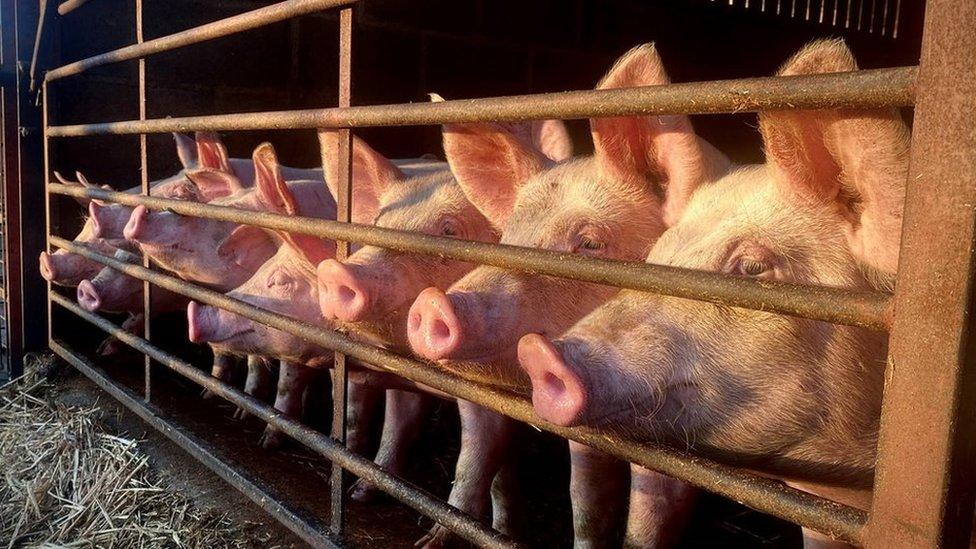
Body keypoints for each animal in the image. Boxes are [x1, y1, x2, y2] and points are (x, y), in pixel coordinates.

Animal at [316, 125, 568, 506]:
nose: (334, 271)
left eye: (449, 232)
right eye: (377, 224)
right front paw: (359, 493)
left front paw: (447, 523)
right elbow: (397, 424)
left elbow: (474, 462)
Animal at [406, 44, 732, 548]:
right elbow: (581, 500)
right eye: (508, 236)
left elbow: (647, 522)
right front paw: (428, 542)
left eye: (591, 244)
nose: (431, 302)